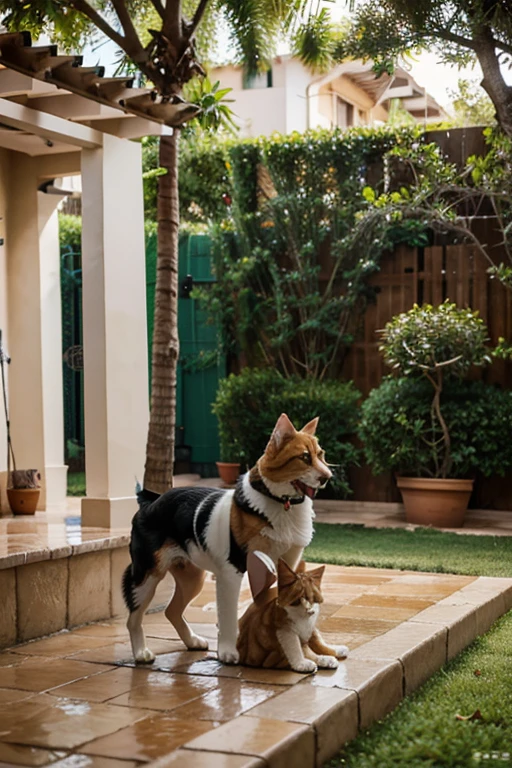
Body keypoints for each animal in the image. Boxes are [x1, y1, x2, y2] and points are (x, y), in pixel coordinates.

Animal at [123, 412, 332, 664]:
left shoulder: (285, 566)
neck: (281, 504)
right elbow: (229, 614)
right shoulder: (231, 571)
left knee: (171, 611)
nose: (328, 477)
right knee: (133, 618)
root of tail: (150, 501)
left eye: (320, 455)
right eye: (304, 457)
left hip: (192, 578)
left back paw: (192, 641)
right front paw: (228, 651)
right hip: (147, 575)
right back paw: (141, 652)